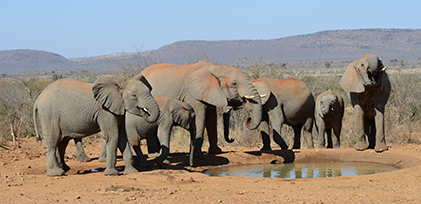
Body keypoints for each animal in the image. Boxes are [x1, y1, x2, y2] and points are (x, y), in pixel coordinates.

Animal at [32, 74, 160, 176]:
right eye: (134, 95)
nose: (145, 113)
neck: (121, 83)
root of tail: (38, 99)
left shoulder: (118, 109)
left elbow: (122, 137)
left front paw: (131, 172)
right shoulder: (105, 111)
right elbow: (113, 136)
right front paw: (111, 174)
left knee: (63, 142)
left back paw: (65, 169)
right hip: (49, 115)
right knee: (53, 141)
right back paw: (56, 173)